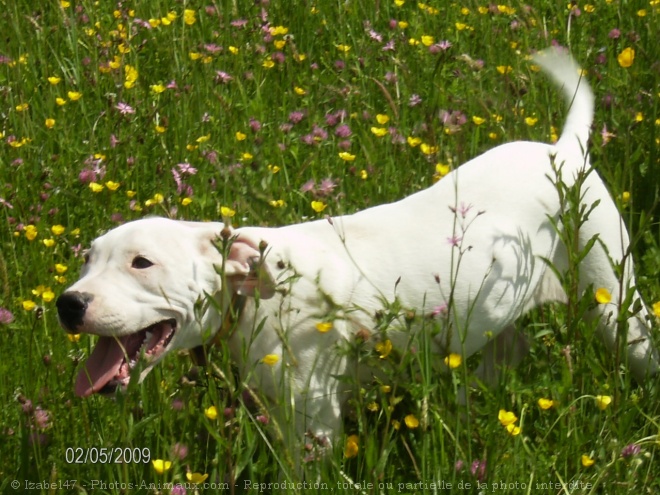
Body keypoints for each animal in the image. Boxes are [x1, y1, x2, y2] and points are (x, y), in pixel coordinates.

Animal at [56, 51, 656, 454]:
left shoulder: (315, 422)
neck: (256, 294)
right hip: (486, 328)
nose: (67, 303)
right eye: (86, 259)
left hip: (618, 307)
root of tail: (563, 150)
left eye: (142, 263)